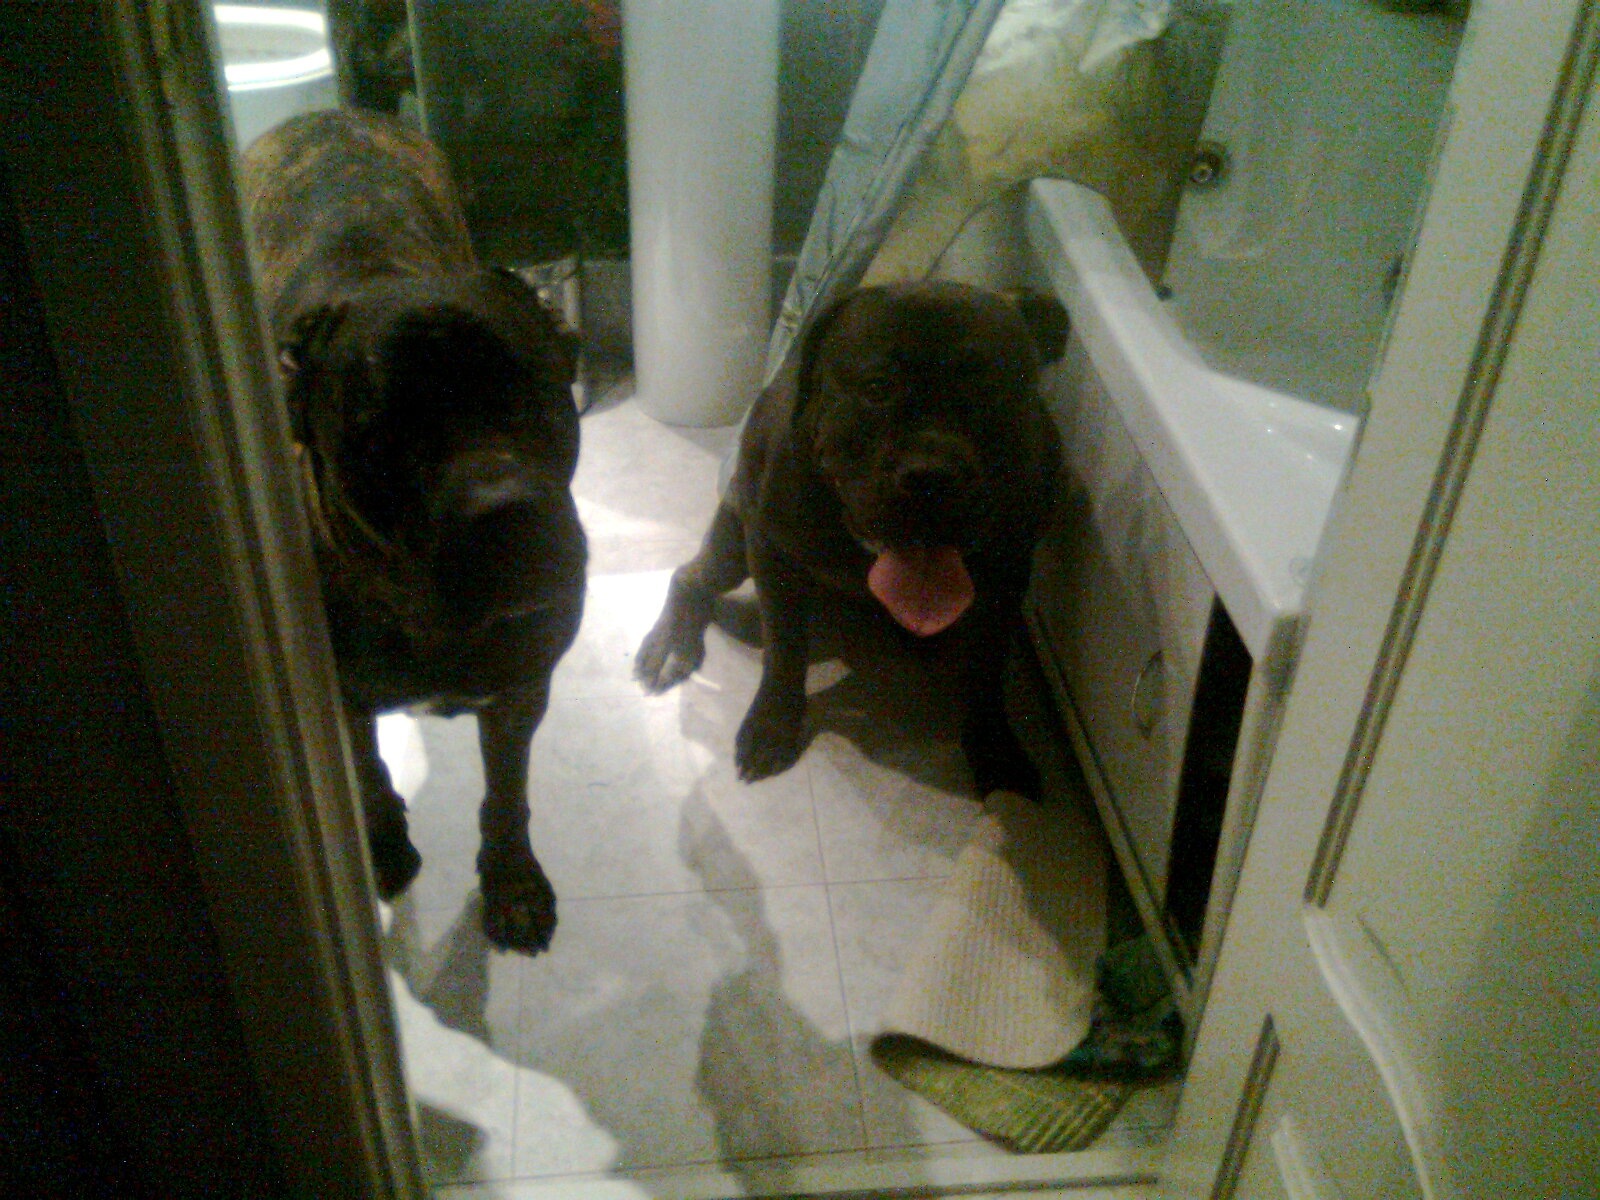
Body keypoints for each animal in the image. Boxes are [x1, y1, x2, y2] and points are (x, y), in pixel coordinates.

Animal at [240, 109, 587, 954]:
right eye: (381, 441)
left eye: (535, 395)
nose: (504, 514)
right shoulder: (341, 699)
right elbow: (365, 772)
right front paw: (382, 840)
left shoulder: (518, 692)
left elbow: (507, 796)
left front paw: (511, 880)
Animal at [635, 281, 1067, 795]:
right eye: (877, 389)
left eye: (989, 394)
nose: (931, 477)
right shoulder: (770, 552)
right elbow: (784, 649)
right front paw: (773, 725)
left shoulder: (1008, 576)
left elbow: (989, 667)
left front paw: (994, 745)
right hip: (734, 544)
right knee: (690, 576)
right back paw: (670, 645)